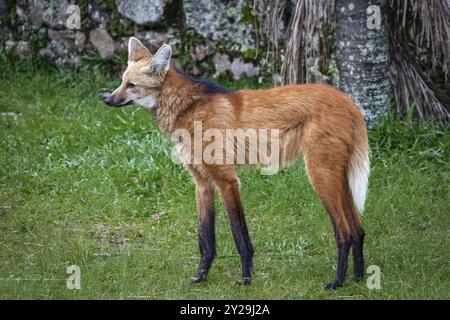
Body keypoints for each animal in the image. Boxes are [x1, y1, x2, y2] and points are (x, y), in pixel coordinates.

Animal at [104, 37, 370, 290]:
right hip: (338, 176)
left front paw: (246, 278)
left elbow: (239, 235)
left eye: (131, 85)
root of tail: (350, 102)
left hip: (320, 175)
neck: (186, 109)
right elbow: (205, 239)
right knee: (359, 229)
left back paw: (337, 282)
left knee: (345, 232)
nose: (107, 99)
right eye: (122, 81)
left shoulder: (227, 180)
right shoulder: (202, 184)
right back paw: (357, 278)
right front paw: (201, 277)